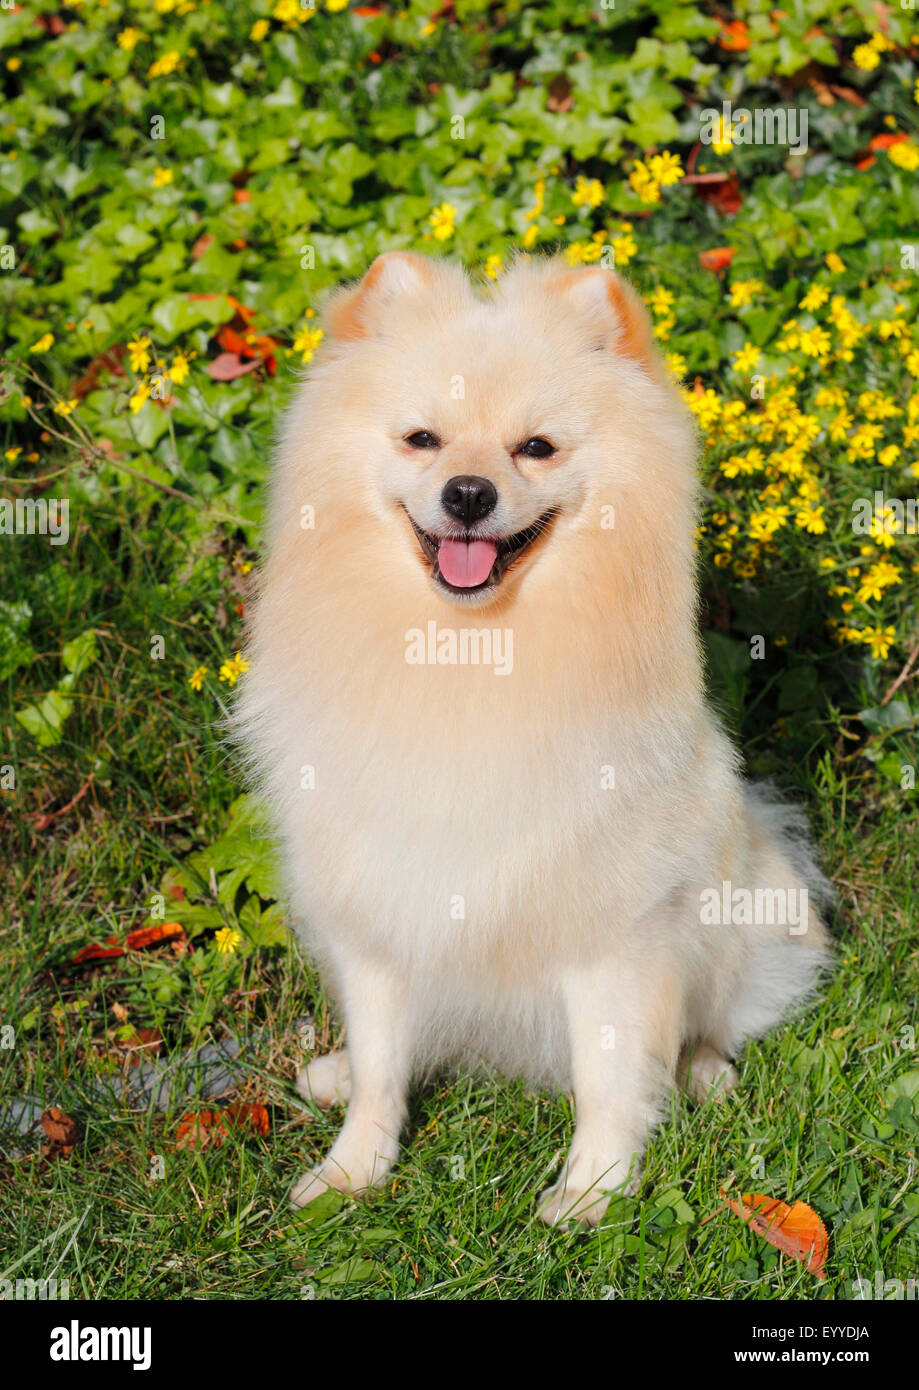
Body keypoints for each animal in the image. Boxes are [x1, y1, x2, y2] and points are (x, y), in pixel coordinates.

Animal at [236, 252, 834, 1228]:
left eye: (536, 448)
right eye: (423, 440)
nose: (468, 493)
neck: (466, 654)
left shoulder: (611, 931)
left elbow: (607, 1074)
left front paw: (592, 1191)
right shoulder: (379, 908)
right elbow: (381, 1063)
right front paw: (353, 1170)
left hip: (747, 920)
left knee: (711, 1022)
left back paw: (702, 1075)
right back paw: (331, 1074)